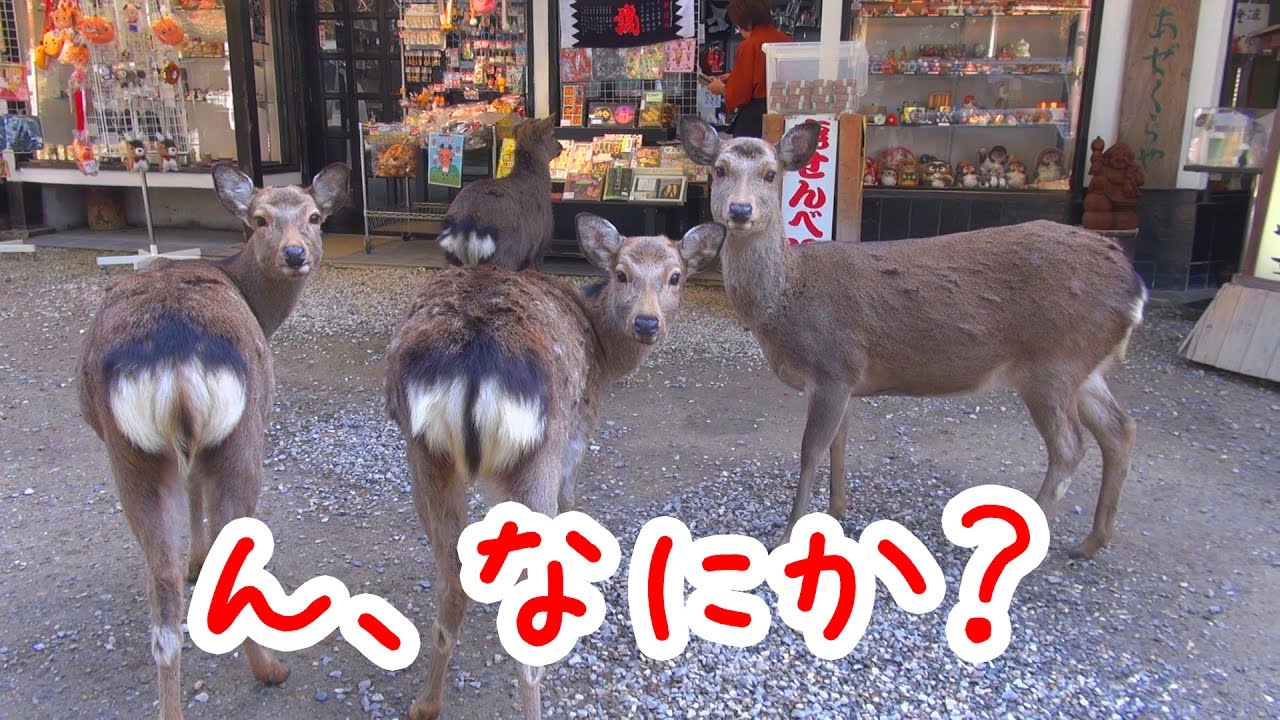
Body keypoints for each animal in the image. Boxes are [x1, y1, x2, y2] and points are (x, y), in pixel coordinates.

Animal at [75, 161, 350, 720]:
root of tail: (174, 361)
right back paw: (270, 669)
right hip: (244, 434)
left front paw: (193, 563)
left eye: (314, 216)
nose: (296, 253)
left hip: (128, 451)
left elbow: (192, 493)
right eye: (259, 219)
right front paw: (200, 561)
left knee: (161, 602)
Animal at [386, 214, 723, 720]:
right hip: (540, 447)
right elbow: (571, 502)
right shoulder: (579, 430)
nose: (647, 323)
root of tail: (474, 358)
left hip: (423, 452)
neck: (605, 355)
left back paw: (425, 703)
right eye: (621, 273)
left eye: (675, 276)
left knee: (451, 580)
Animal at [436, 115, 562, 270]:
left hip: (451, 258)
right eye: (553, 134)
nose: (561, 146)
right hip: (506, 256)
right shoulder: (540, 244)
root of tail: (467, 224)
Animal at [678, 115, 1147, 560]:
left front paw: (788, 534)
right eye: (720, 169)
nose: (740, 210)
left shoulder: (833, 364)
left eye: (771, 173)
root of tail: (1135, 286)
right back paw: (1092, 541)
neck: (786, 301)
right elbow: (839, 443)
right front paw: (837, 509)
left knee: (1070, 447)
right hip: (1083, 365)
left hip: (1051, 362)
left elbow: (811, 450)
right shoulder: (848, 377)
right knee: (1120, 429)